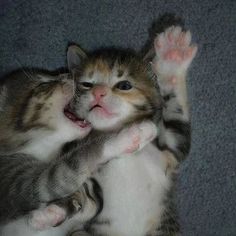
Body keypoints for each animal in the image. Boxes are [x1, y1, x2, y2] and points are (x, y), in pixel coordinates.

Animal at [65, 25, 196, 236]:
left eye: (124, 85)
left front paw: (172, 59)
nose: (98, 92)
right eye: (86, 84)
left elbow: (177, 124)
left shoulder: (169, 154)